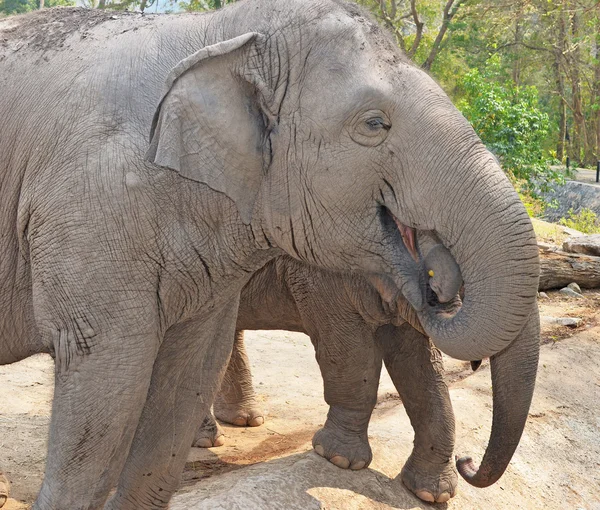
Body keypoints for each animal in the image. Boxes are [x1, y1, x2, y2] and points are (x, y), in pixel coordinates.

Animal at [195, 249, 462, 504]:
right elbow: (350, 353)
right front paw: (341, 460)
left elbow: (418, 362)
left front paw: (433, 495)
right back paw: (207, 439)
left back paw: (245, 420)